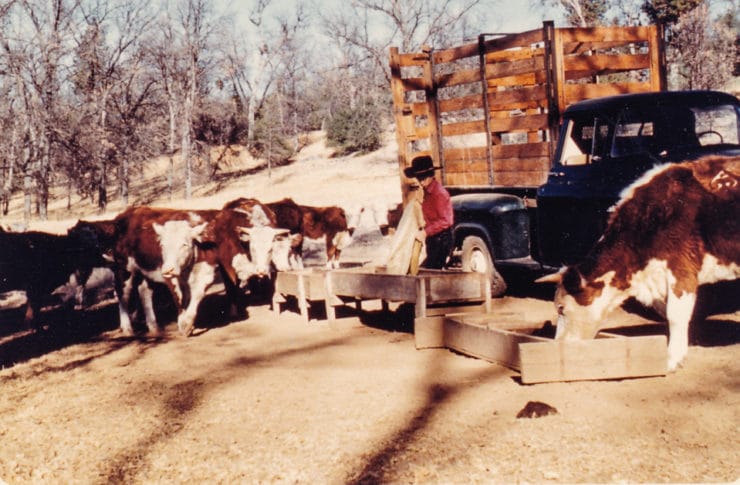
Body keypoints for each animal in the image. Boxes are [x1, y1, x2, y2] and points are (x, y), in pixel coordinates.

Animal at [536, 155, 740, 370]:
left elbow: (675, 315)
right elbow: (665, 312)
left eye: (561, 307)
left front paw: (672, 359)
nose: (558, 343)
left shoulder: (681, 267)